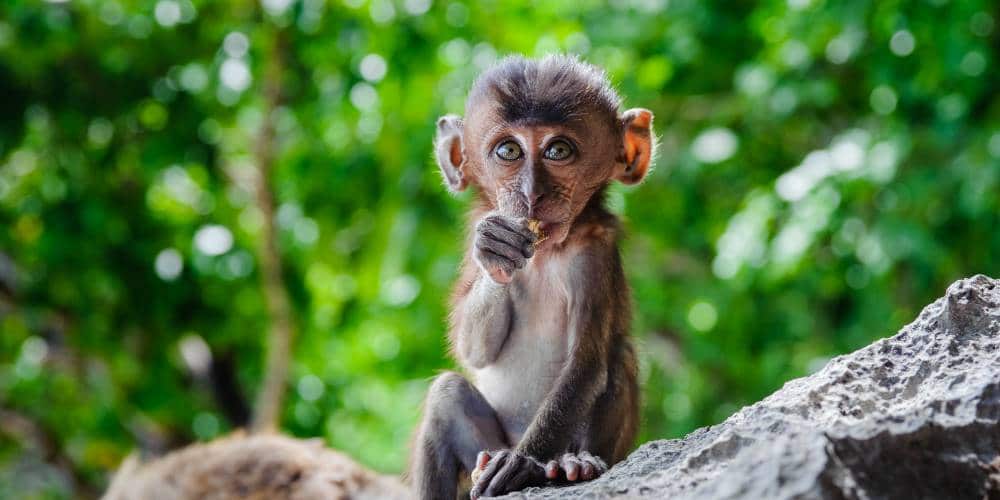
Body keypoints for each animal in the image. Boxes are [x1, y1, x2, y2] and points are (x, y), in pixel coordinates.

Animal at [408, 55, 652, 500]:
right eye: (509, 151)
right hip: (483, 449)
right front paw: (496, 248)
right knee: (446, 392)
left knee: (618, 355)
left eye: (558, 151)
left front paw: (521, 463)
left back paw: (572, 464)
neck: (545, 252)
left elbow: (586, 365)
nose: (531, 193)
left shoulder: (595, 255)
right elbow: (473, 352)